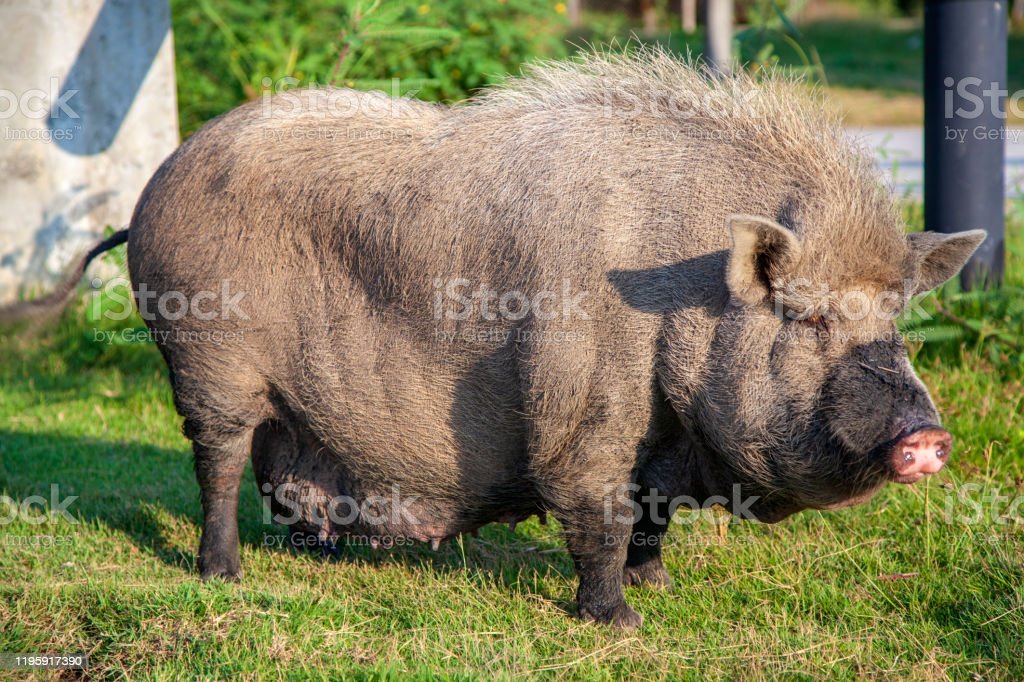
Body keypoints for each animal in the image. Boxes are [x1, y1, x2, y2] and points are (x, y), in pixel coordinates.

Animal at [9, 51, 985, 628]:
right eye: (810, 317)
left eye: (896, 323)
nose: (929, 435)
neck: (687, 293)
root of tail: (148, 195)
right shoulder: (583, 404)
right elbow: (601, 509)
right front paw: (618, 622)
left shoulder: (663, 434)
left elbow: (653, 512)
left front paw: (659, 588)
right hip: (207, 359)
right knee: (215, 462)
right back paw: (224, 576)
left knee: (276, 466)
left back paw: (313, 553)